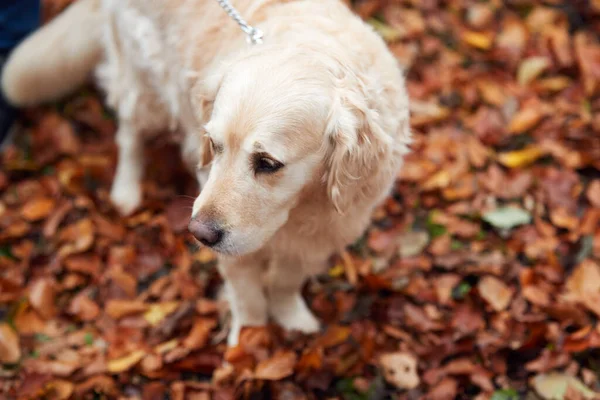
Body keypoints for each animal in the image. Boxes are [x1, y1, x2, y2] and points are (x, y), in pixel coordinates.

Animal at [0, 0, 410, 344]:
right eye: (214, 145)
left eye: (268, 163)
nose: (199, 233)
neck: (302, 205)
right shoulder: (237, 251)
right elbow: (248, 299)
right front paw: (248, 349)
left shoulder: (322, 233)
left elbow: (284, 283)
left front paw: (293, 320)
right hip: (143, 83)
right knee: (129, 133)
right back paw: (126, 192)